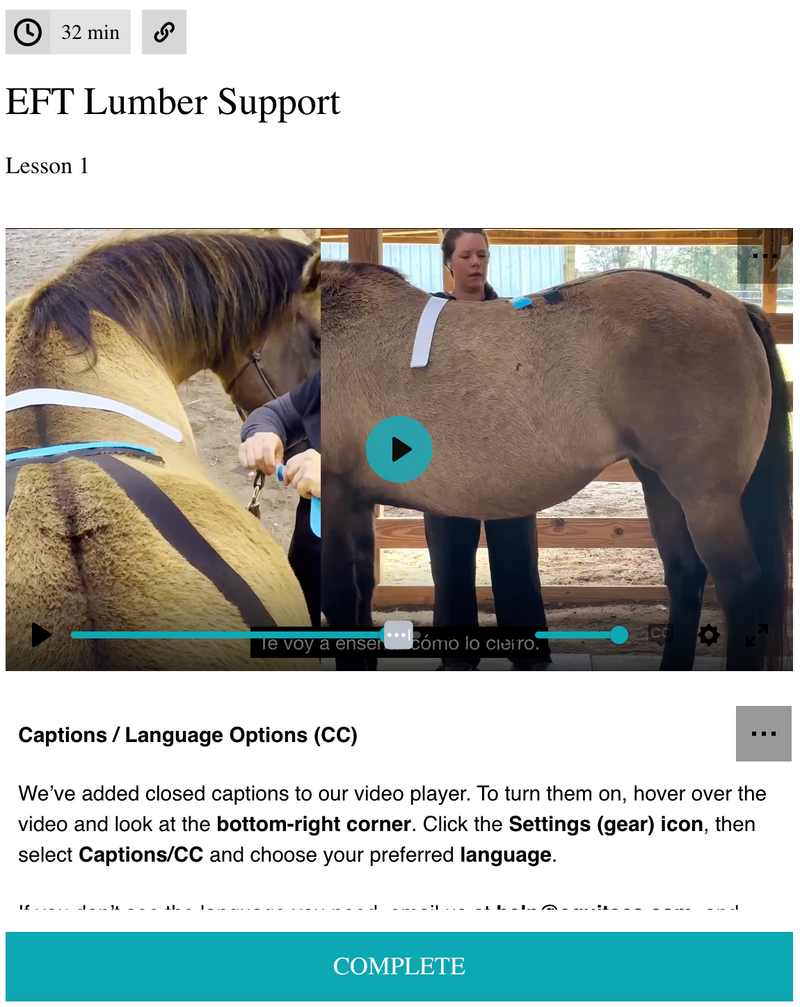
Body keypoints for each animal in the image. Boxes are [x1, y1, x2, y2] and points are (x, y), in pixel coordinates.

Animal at [321, 261, 792, 671]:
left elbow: (341, 599)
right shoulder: (356, 503)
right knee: (685, 575)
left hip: (707, 498)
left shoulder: (334, 495)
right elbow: (359, 596)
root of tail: (733, 306)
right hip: (661, 486)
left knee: (740, 587)